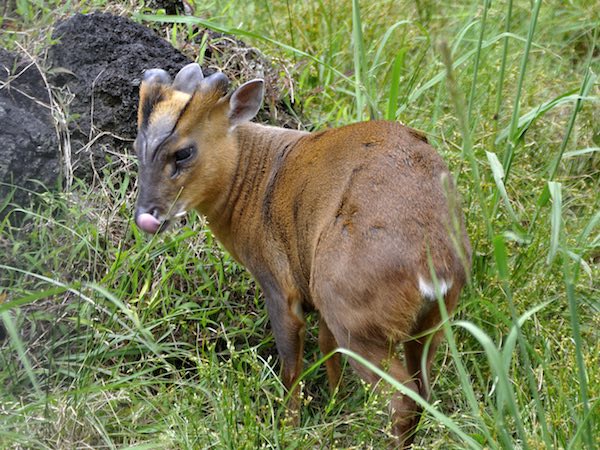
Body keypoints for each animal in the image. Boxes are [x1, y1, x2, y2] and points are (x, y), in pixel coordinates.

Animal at [134, 62, 472, 446]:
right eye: (138, 146)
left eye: (184, 152)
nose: (146, 216)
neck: (254, 183)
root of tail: (434, 264)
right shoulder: (314, 289)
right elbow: (326, 346)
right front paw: (335, 405)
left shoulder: (279, 285)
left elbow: (291, 365)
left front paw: (288, 427)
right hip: (429, 322)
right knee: (423, 390)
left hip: (354, 312)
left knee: (402, 398)